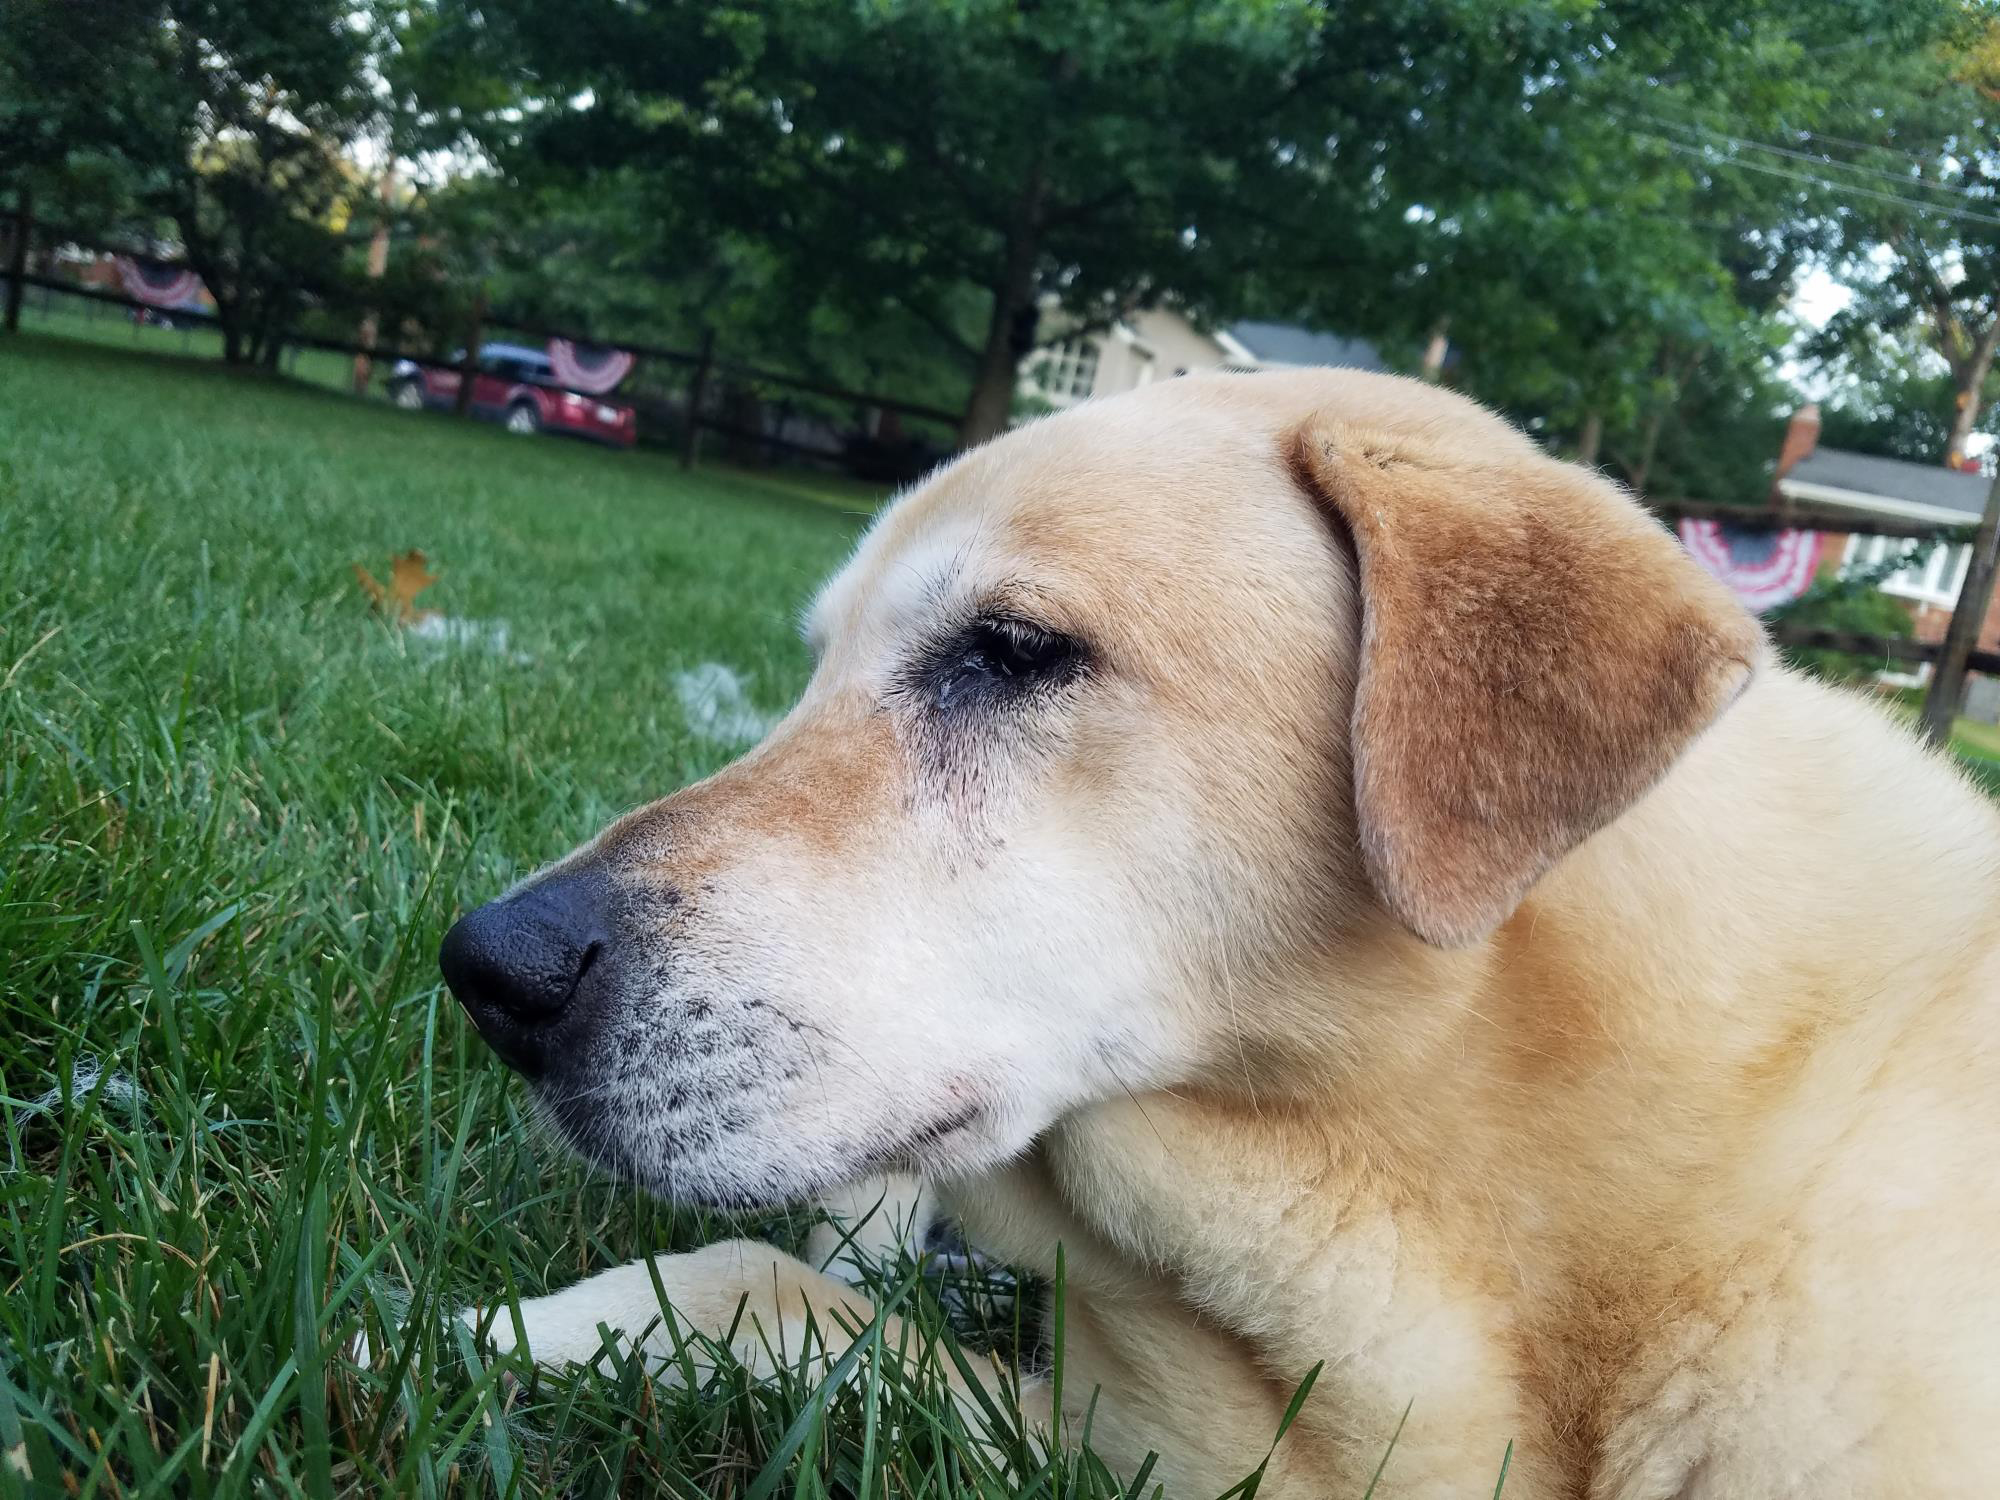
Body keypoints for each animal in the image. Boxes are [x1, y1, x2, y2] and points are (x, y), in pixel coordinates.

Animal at [438, 374, 2000, 1500]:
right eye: (811, 674)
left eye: (1013, 651)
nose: (491, 971)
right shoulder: (1160, 1446)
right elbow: (768, 1281)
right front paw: (496, 1331)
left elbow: (761, 1278)